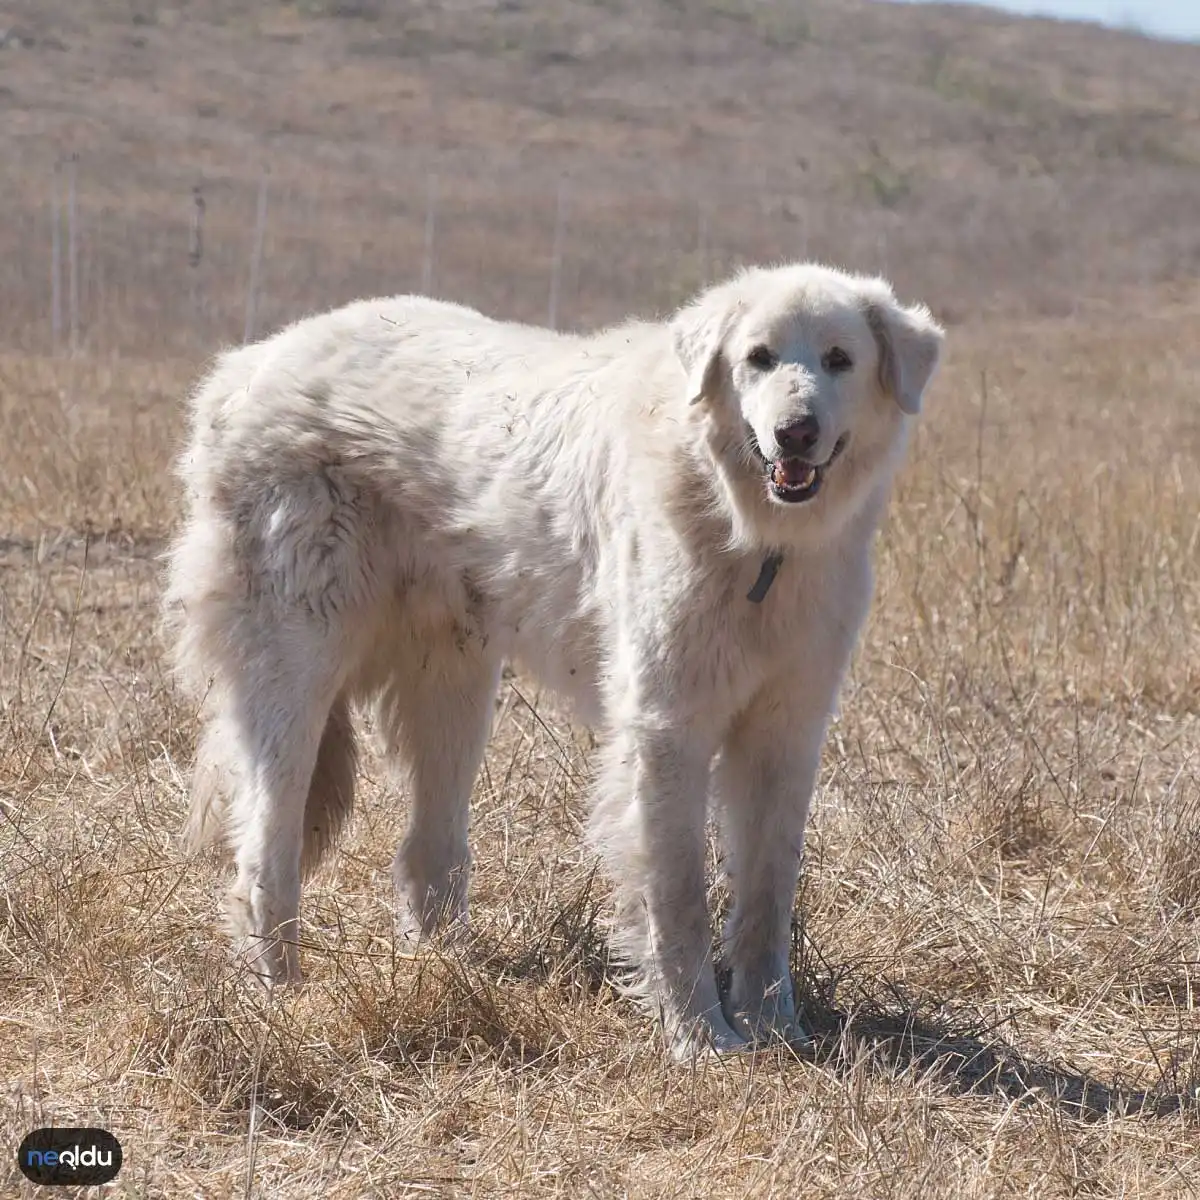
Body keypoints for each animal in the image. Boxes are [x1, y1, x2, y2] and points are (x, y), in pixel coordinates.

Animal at [164, 260, 940, 1051]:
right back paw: (280, 993)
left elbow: (767, 894)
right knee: (266, 850)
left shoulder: (787, 730)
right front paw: (698, 1036)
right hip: (299, 673)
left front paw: (775, 1029)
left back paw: (449, 975)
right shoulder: (666, 729)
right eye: (759, 357)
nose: (795, 433)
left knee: (425, 852)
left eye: (839, 360)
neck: (752, 534)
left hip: (454, 688)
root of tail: (246, 364)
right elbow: (677, 897)